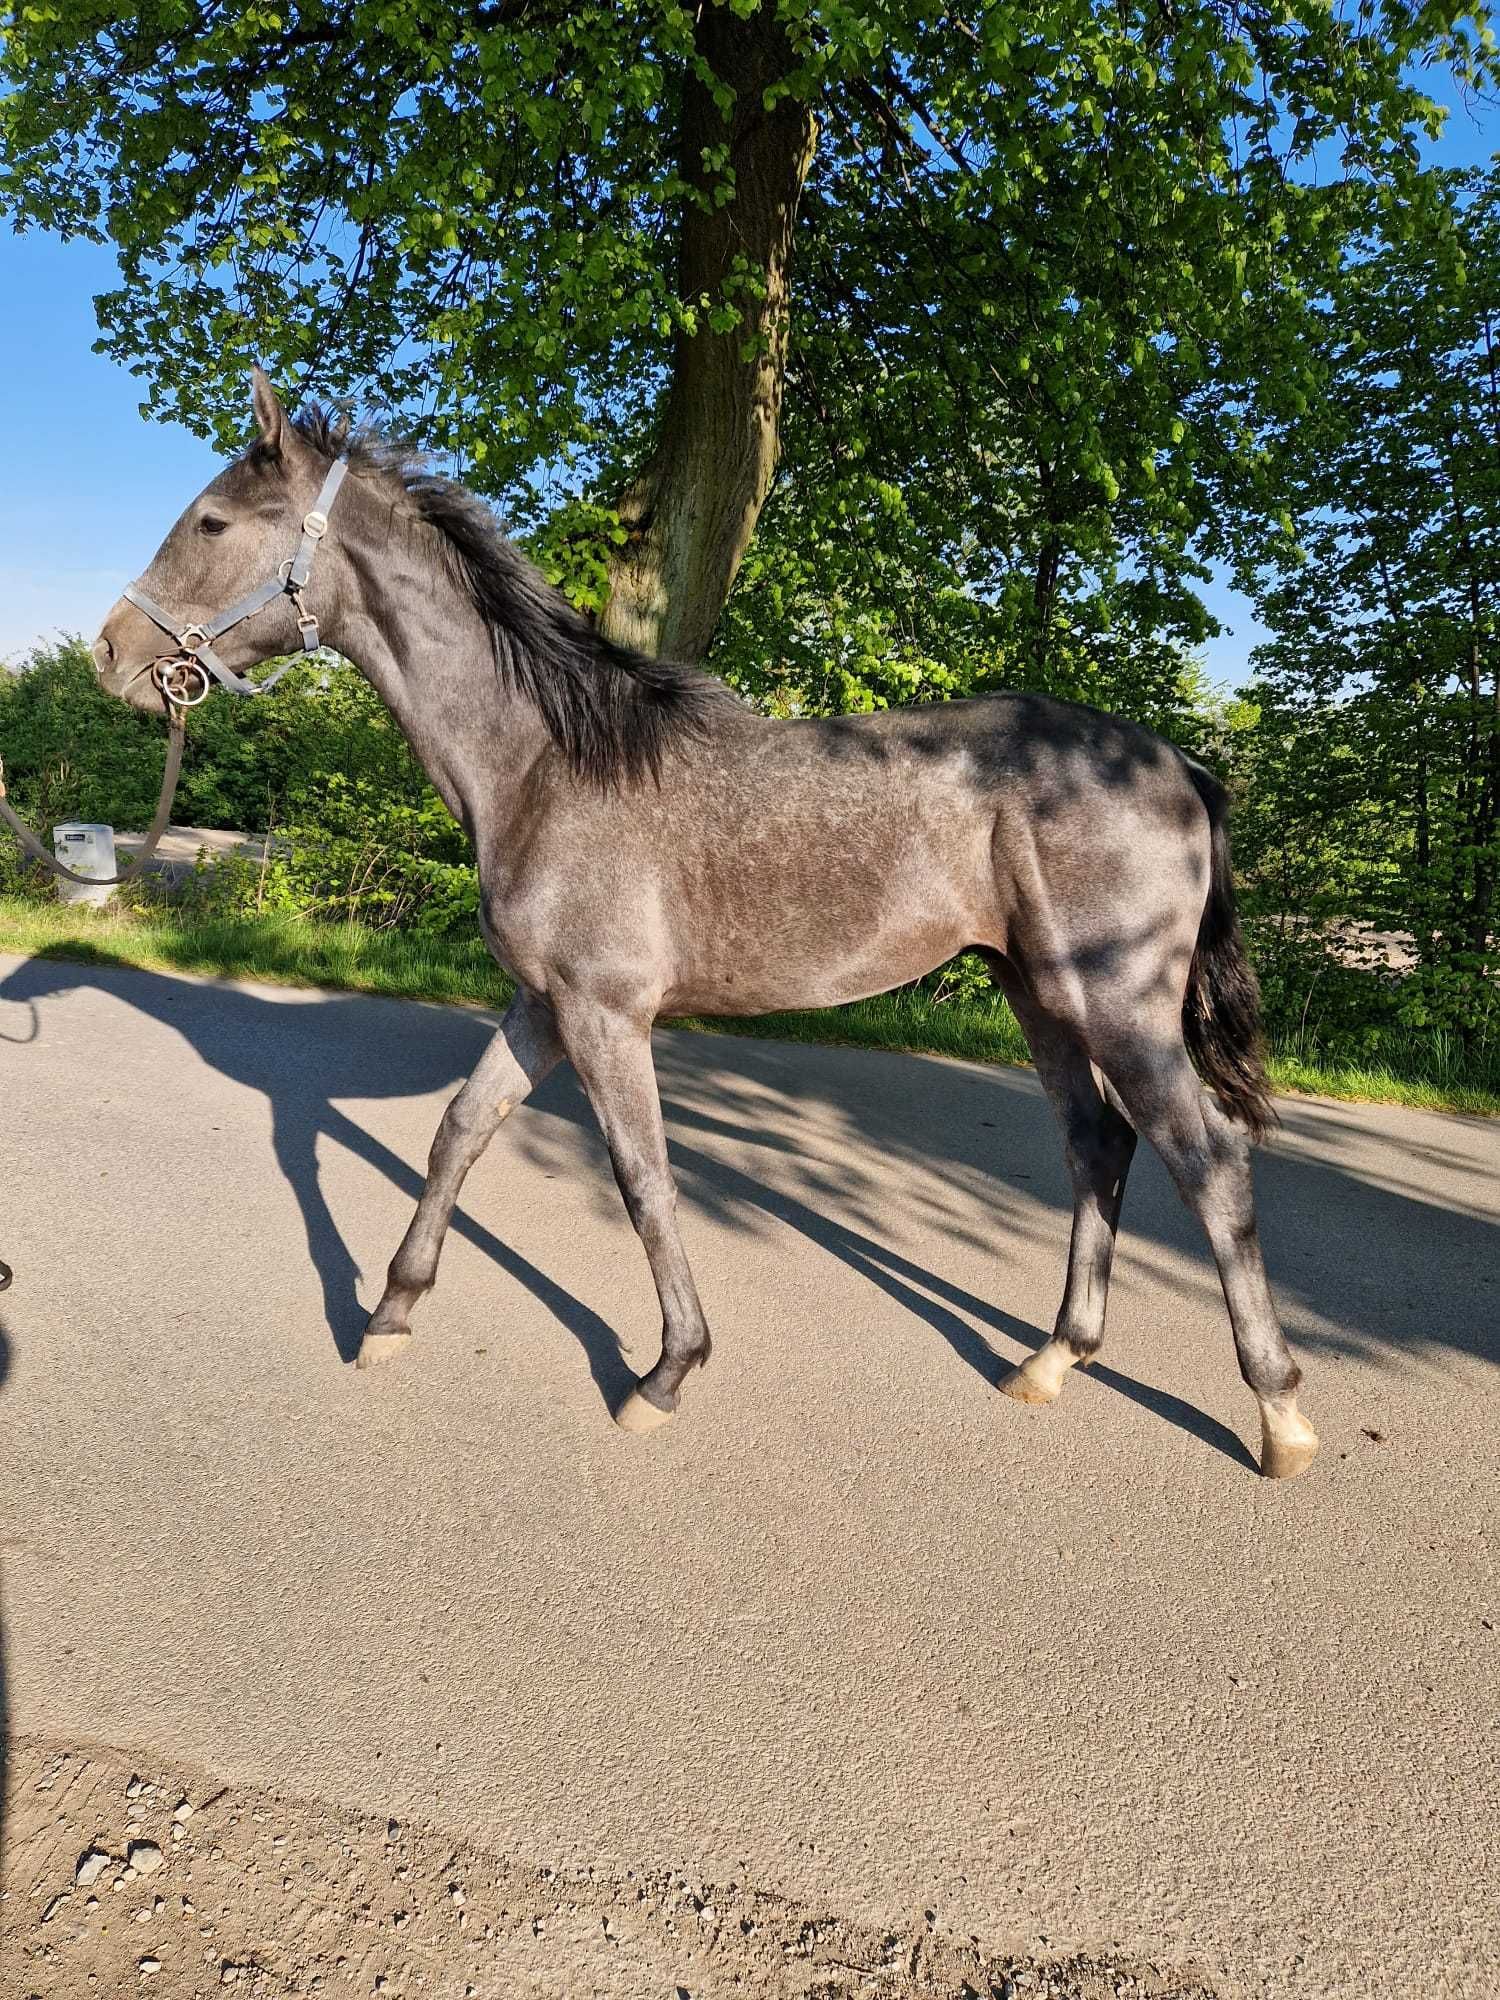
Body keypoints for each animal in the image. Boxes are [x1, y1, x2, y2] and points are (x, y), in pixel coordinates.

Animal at [88, 372, 1320, 1488]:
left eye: (210, 521)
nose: (111, 657)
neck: (544, 765)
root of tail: (1181, 764)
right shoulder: (542, 1006)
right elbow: (457, 1133)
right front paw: (390, 1313)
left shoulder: (605, 1015)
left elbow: (643, 1179)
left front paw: (666, 1370)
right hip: (1040, 995)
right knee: (1097, 1147)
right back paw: (1053, 1359)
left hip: (1117, 1003)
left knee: (1209, 1163)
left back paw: (1278, 1416)